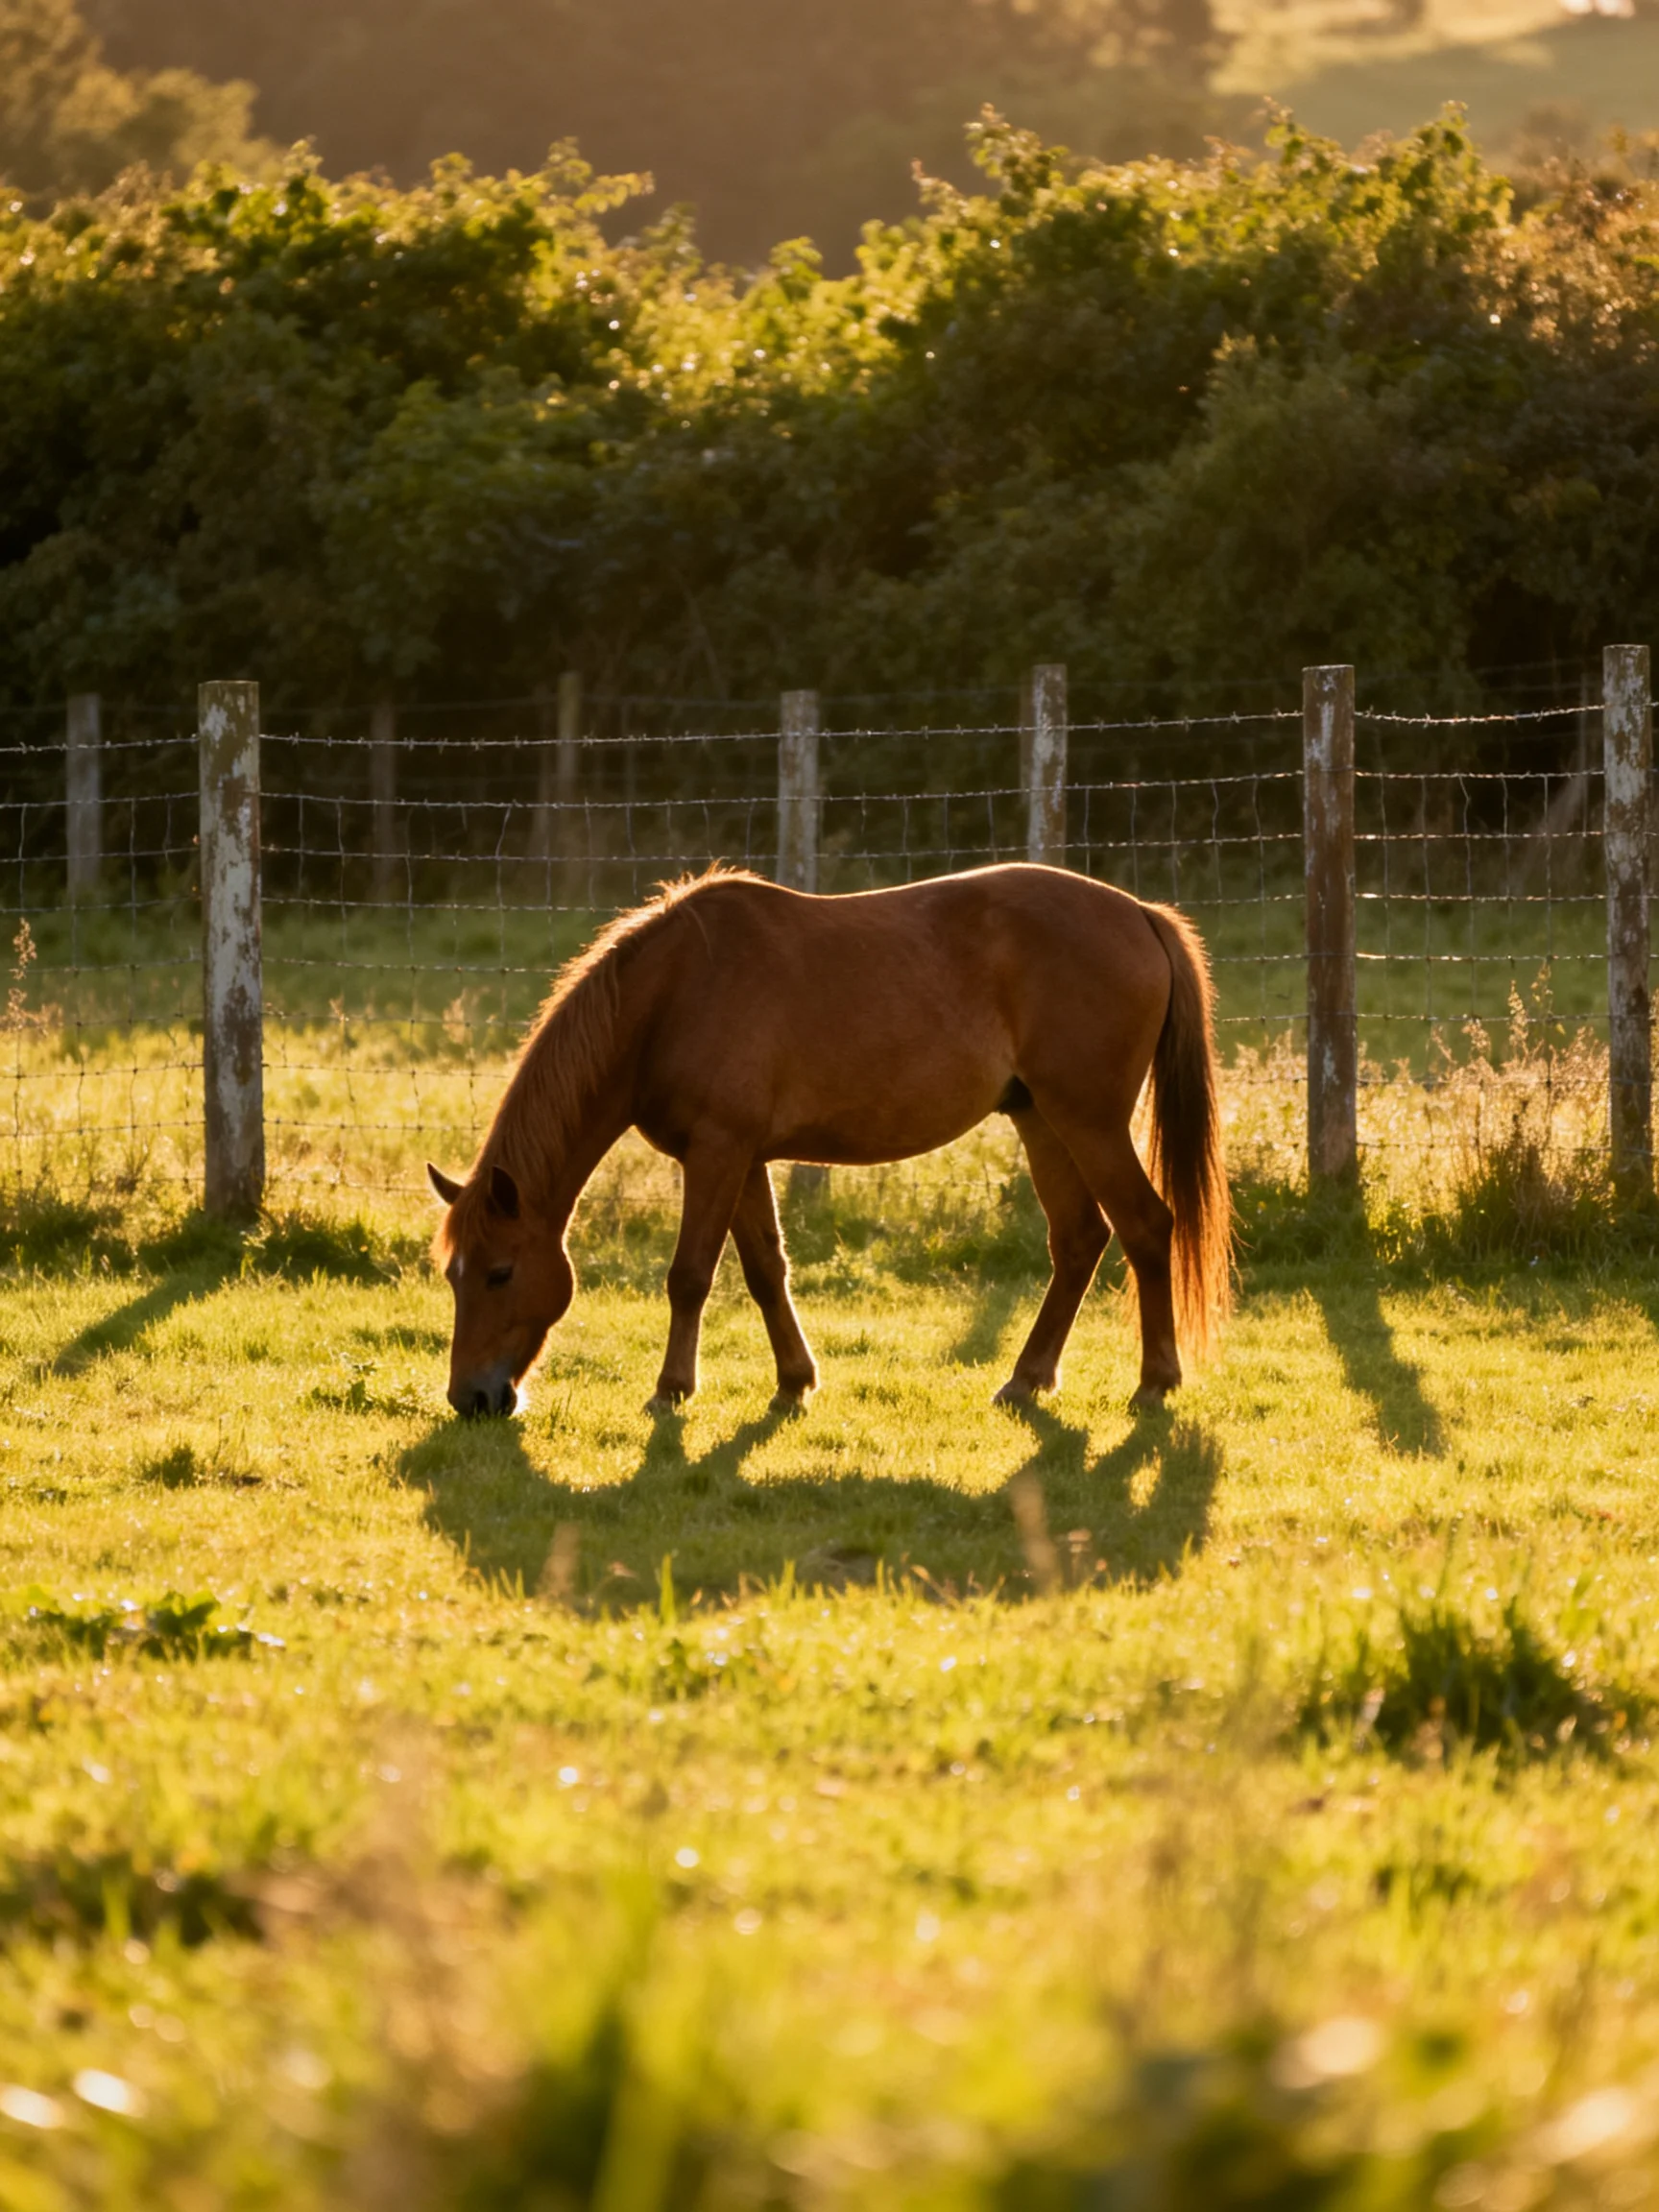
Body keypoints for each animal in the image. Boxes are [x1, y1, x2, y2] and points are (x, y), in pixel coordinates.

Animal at [428, 862, 1231, 1420]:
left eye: (500, 1272)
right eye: (452, 1276)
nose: (471, 1399)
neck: (675, 994)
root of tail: (1141, 913)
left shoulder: (717, 1153)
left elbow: (690, 1276)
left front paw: (671, 1391)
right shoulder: (741, 1158)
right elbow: (764, 1272)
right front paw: (794, 1384)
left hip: (1088, 1120)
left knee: (1145, 1226)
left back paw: (1155, 1384)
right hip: (1041, 1119)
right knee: (1078, 1241)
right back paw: (1026, 1380)